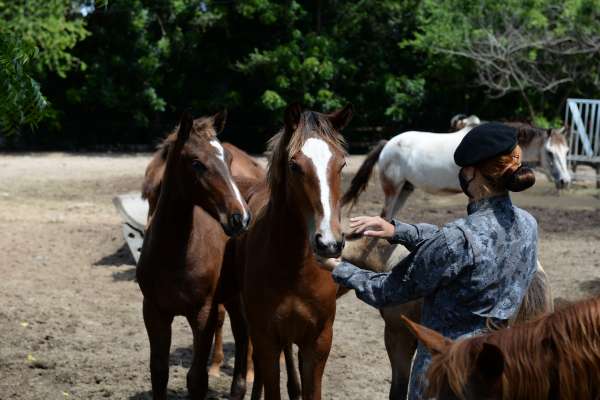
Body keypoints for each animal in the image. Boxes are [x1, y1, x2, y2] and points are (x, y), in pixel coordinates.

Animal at [137, 111, 252, 400]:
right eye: (196, 163)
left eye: (229, 158)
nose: (240, 218)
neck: (173, 255)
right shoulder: (154, 311)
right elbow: (159, 372)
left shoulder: (203, 314)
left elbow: (197, 378)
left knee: (245, 335)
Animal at [238, 104, 354, 400]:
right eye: (294, 166)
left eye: (342, 165)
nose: (329, 243)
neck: (294, 267)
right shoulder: (266, 339)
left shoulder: (319, 341)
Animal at [342, 121, 572, 219]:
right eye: (550, 152)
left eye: (567, 150)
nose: (565, 181)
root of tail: (388, 143)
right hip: (393, 190)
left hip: (405, 190)